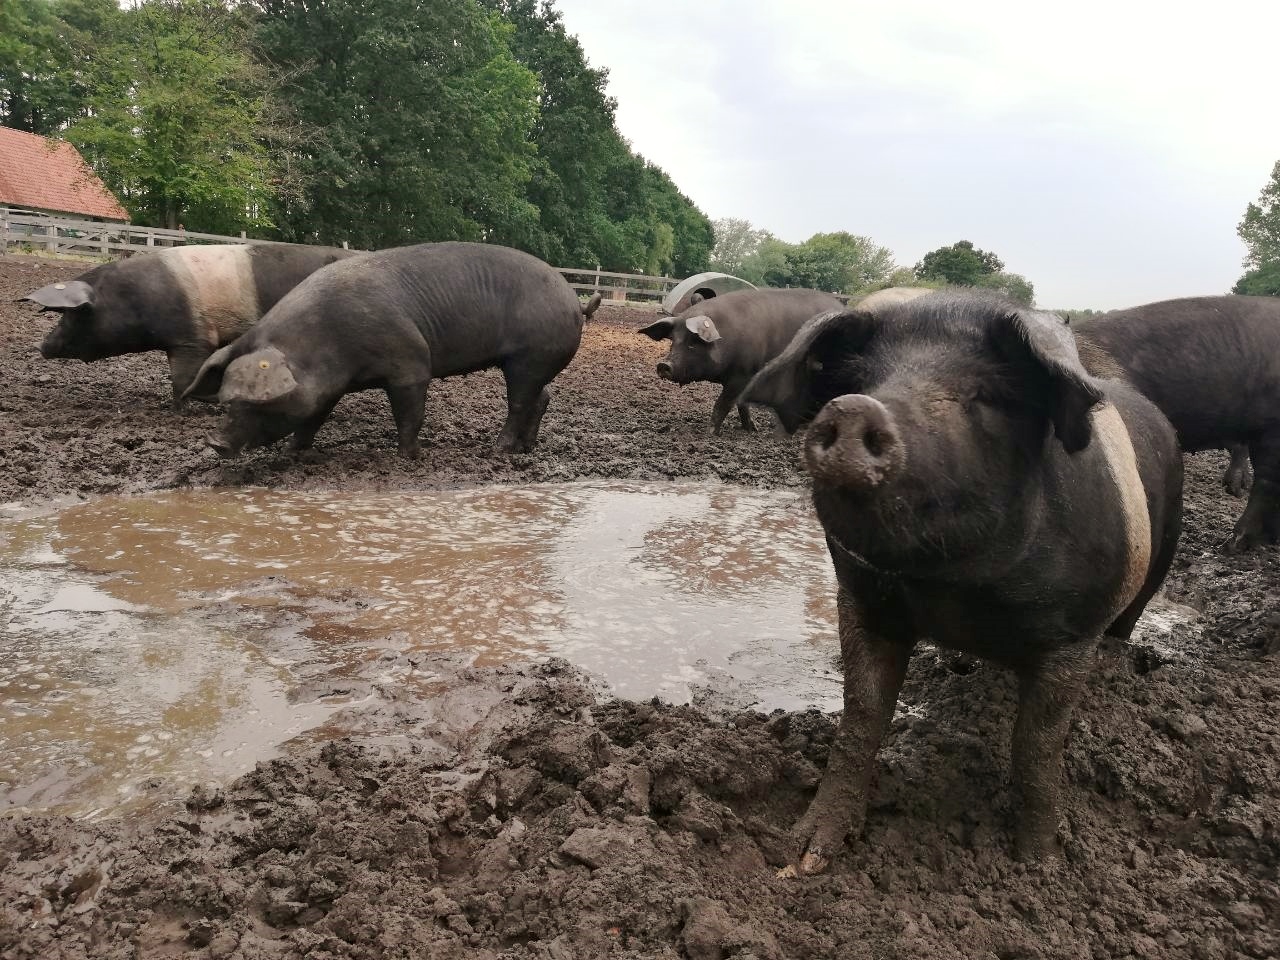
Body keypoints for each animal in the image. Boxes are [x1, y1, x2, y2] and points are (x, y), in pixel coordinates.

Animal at [181, 244, 599, 463]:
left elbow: (410, 413)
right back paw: (526, 448)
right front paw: (295, 451)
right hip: (533, 363)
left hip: (530, 357)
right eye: (228, 400)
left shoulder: (410, 363)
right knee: (542, 398)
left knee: (520, 403)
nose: (214, 443)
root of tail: (573, 300)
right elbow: (314, 416)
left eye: (258, 402)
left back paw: (496, 450)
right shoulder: (330, 387)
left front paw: (409, 456)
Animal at [637, 288, 839, 435]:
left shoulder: (742, 375)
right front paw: (751, 429)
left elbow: (723, 404)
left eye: (693, 343)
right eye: (673, 341)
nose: (663, 365)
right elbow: (742, 404)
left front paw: (710, 433)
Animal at [747, 289, 1182, 870]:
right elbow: (861, 716)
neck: (958, 589)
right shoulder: (863, 599)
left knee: (1126, 624)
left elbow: (1037, 745)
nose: (856, 408)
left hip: (1160, 558)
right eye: (856, 379)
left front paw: (1041, 864)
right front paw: (804, 857)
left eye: (987, 394)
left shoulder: (1072, 634)